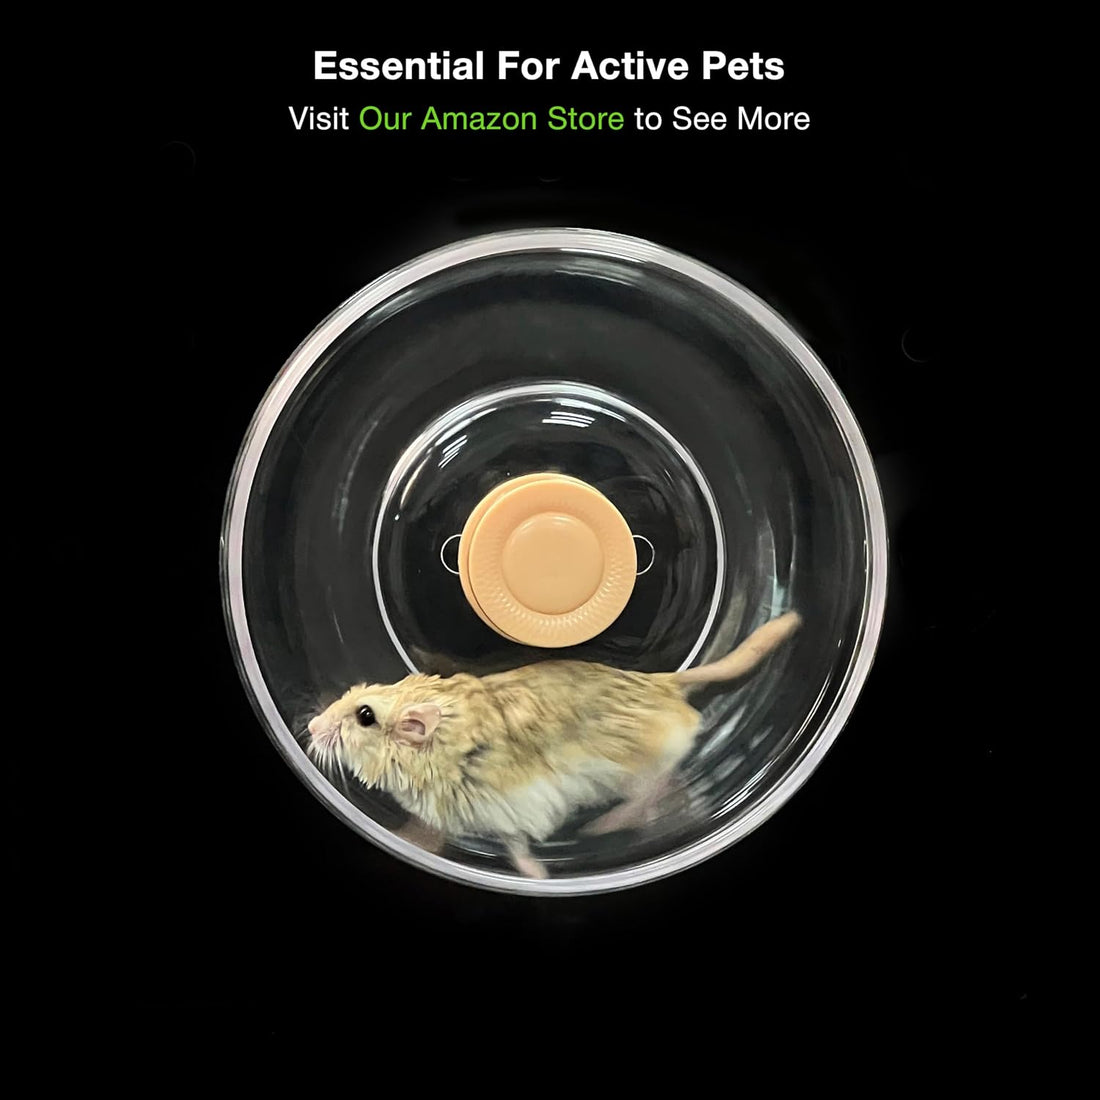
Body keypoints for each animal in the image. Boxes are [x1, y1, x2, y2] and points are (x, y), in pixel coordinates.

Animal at [306, 611, 801, 879]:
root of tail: (664, 684)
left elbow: (516, 847)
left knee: (653, 787)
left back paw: (603, 827)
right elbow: (434, 831)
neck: (442, 750)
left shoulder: (511, 807)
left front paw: (538, 875)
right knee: (673, 782)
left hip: (632, 765)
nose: (310, 727)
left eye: (364, 715)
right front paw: (411, 840)